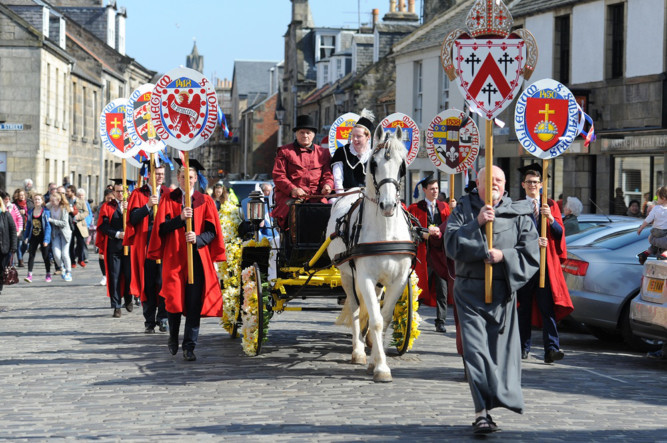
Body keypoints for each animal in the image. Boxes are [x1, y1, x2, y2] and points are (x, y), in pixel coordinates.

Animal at [326, 124, 414, 382]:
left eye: (402, 164)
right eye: (373, 164)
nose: (388, 205)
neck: (385, 231)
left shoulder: (398, 280)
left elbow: (384, 318)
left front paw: (377, 359)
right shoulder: (363, 276)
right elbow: (374, 320)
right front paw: (381, 367)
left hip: (378, 282)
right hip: (347, 275)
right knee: (356, 309)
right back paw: (358, 351)